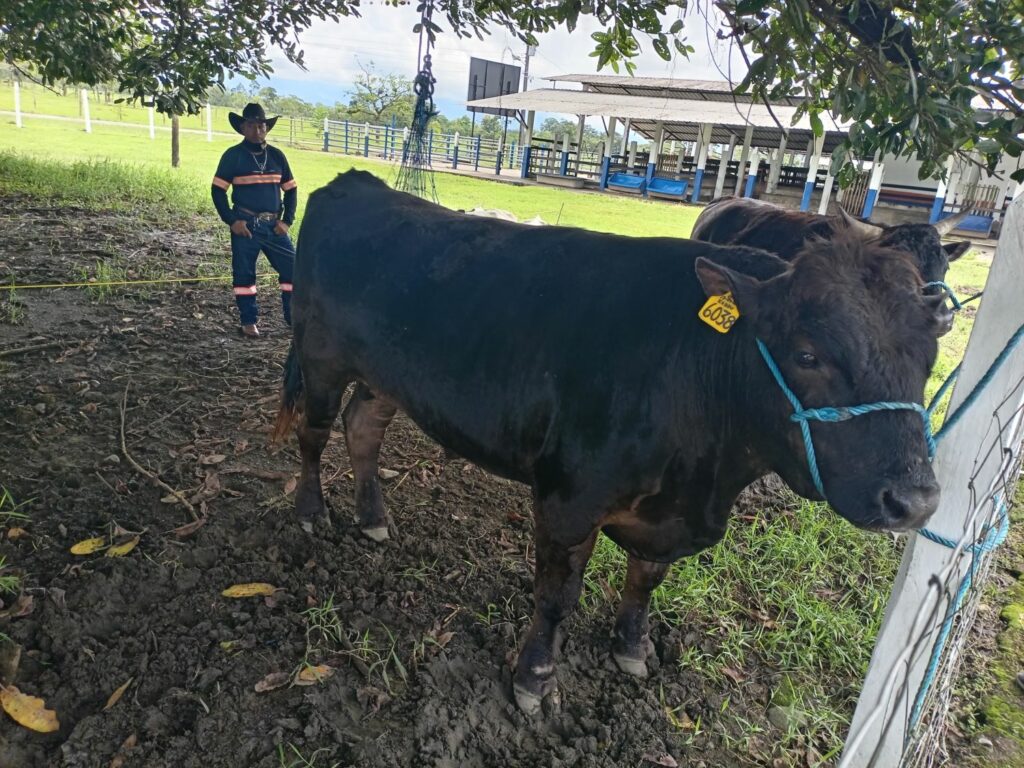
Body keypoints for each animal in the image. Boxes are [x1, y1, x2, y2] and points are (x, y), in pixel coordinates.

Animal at [274, 169, 942, 716]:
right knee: (313, 432)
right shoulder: (569, 498)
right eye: (807, 354)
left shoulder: (667, 514)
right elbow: (557, 597)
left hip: (386, 375)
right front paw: (535, 679)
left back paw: (372, 517)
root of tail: (357, 182)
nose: (915, 501)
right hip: (320, 356)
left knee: (364, 426)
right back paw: (311, 511)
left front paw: (632, 647)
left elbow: (645, 581)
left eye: (930, 356)